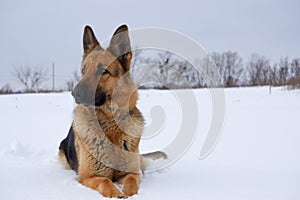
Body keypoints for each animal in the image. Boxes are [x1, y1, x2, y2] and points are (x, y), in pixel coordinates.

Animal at [58, 24, 166, 198]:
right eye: (83, 71)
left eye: (103, 71)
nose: (75, 93)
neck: (110, 123)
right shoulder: (87, 177)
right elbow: (105, 181)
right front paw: (117, 194)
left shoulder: (131, 173)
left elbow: (131, 181)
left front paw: (129, 194)